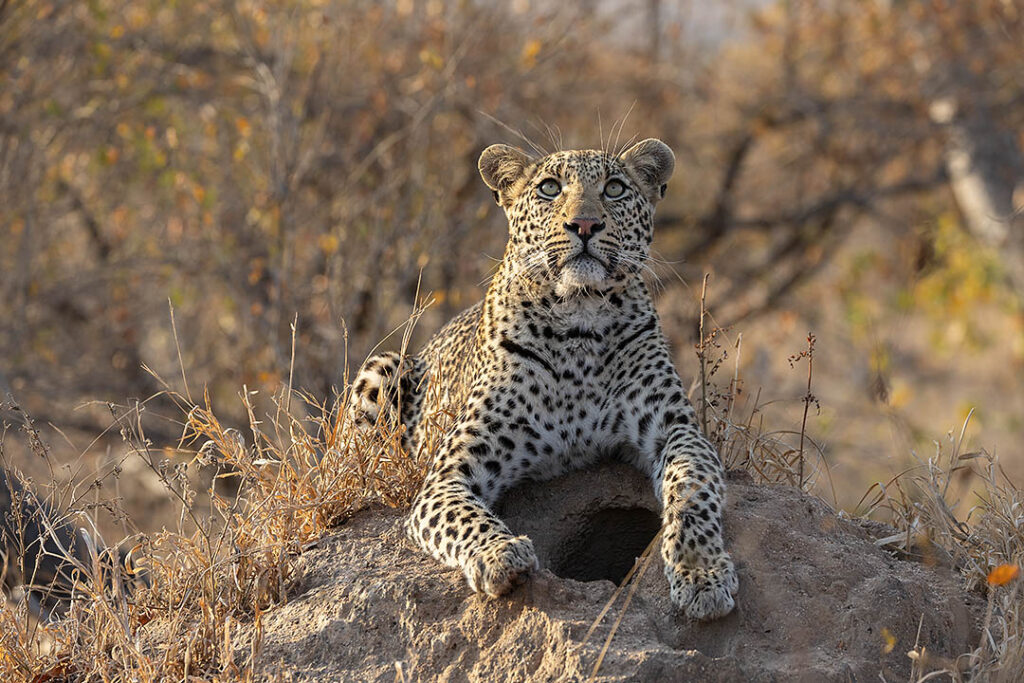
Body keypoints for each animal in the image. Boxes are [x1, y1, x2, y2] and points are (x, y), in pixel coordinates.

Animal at [350, 138, 738, 620]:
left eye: (614, 188)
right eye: (550, 188)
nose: (585, 224)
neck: (579, 322)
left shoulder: (677, 429)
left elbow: (692, 493)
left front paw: (702, 574)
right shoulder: (448, 472)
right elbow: (463, 516)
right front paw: (500, 555)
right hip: (382, 366)